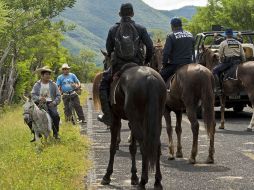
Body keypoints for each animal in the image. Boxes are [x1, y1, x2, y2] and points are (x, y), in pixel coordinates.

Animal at [93, 51, 167, 189]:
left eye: (105, 62)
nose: (104, 69)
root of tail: (150, 78)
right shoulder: (132, 122)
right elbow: (132, 148)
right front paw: (133, 176)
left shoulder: (116, 119)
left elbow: (112, 147)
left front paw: (107, 176)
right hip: (154, 119)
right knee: (156, 146)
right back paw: (157, 181)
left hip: (136, 120)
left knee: (145, 146)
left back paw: (143, 182)